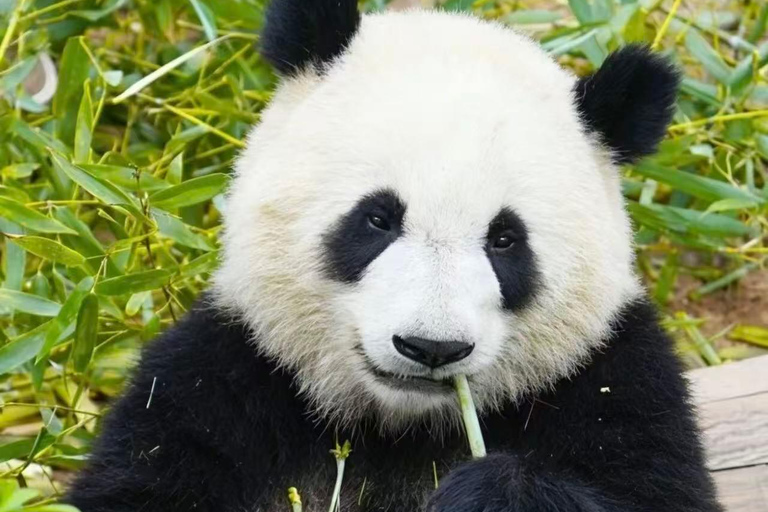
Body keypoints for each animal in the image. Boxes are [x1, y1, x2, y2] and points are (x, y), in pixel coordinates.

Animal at [68, 1, 723, 511]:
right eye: (378, 219)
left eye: (505, 239)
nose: (431, 348)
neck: (398, 428)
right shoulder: (224, 381)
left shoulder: (616, 385)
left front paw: (488, 495)